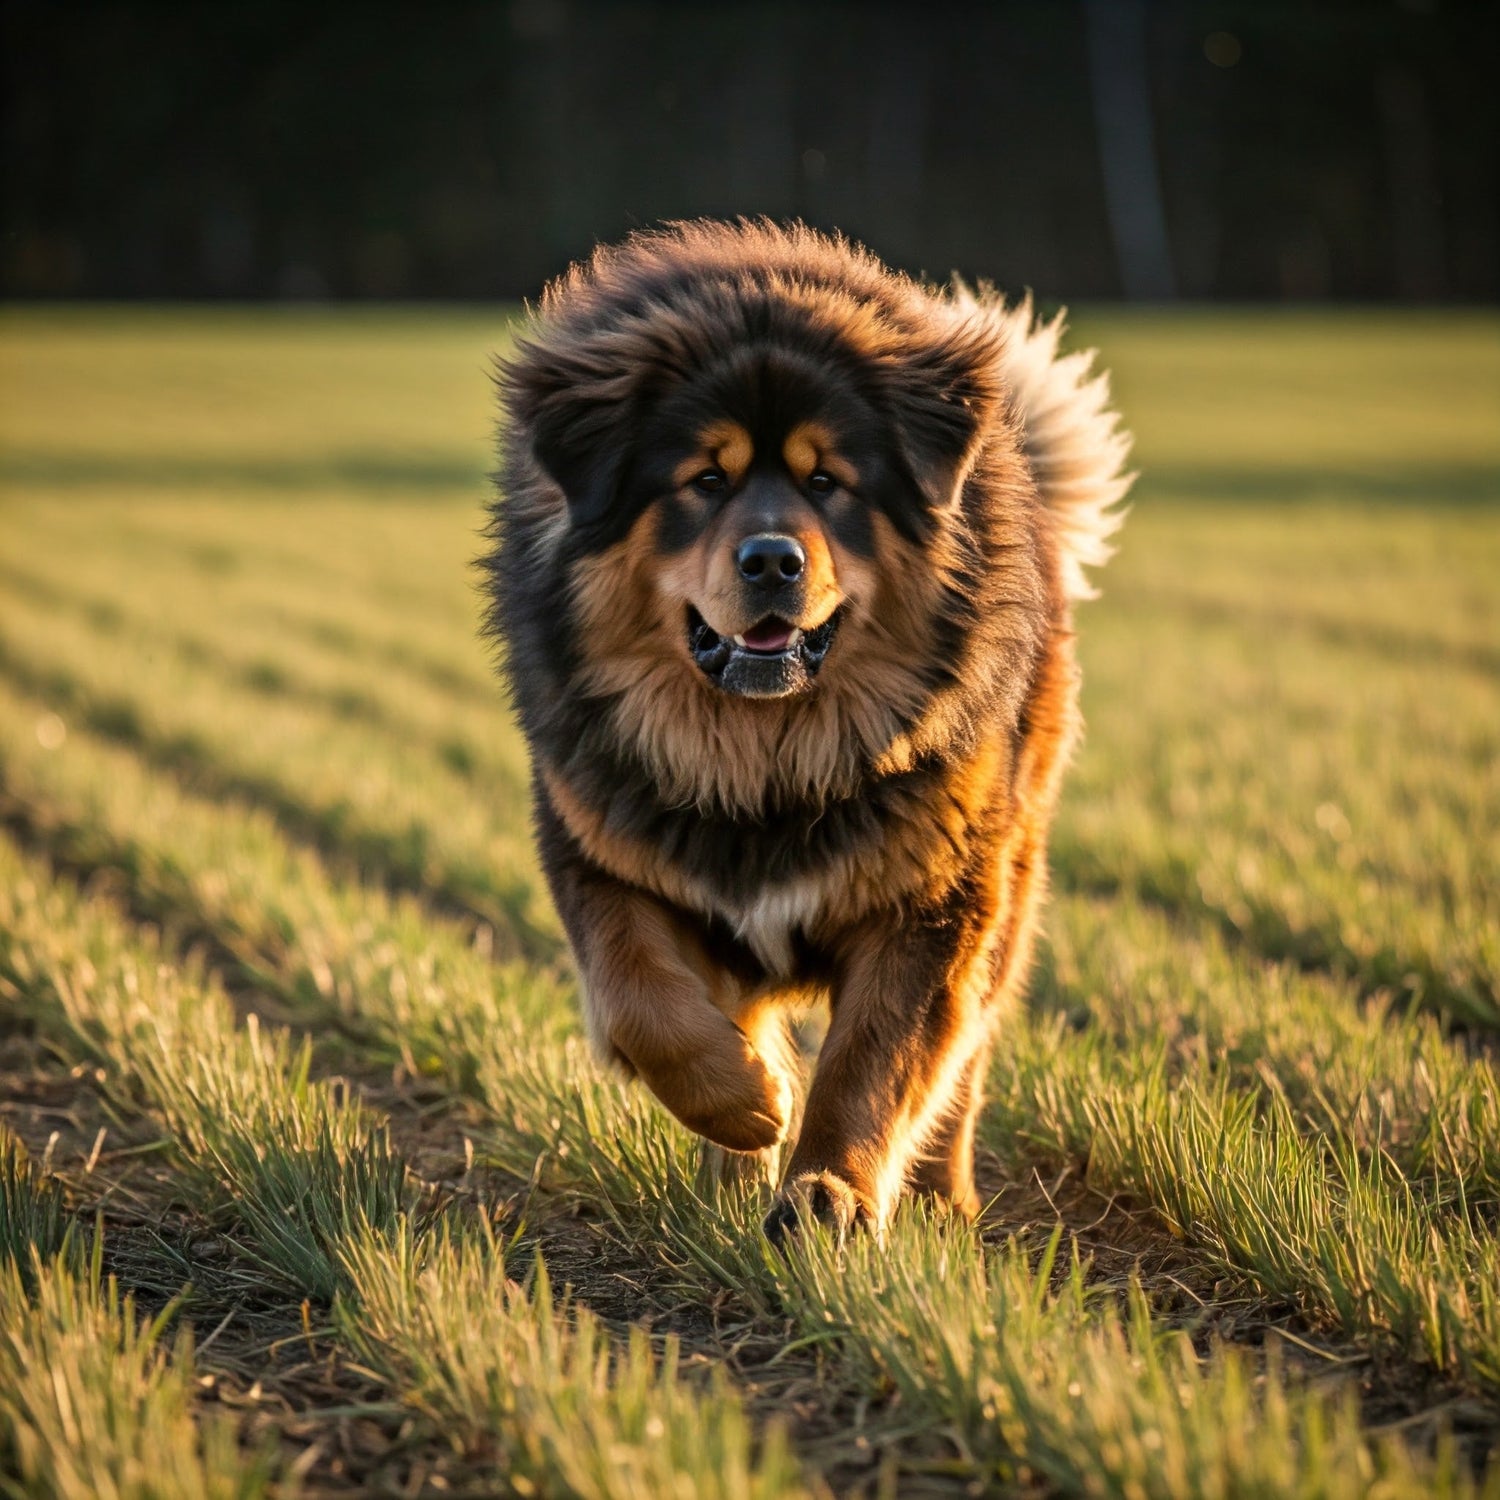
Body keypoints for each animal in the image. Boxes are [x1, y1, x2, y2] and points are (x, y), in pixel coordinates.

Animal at [486, 217, 1128, 1236]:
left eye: (827, 481)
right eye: (705, 480)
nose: (772, 560)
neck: (764, 761)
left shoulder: (934, 898)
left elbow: (874, 1063)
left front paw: (827, 1189)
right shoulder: (600, 853)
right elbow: (642, 1005)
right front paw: (751, 1103)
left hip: (1012, 868)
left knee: (967, 1059)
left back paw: (942, 1199)